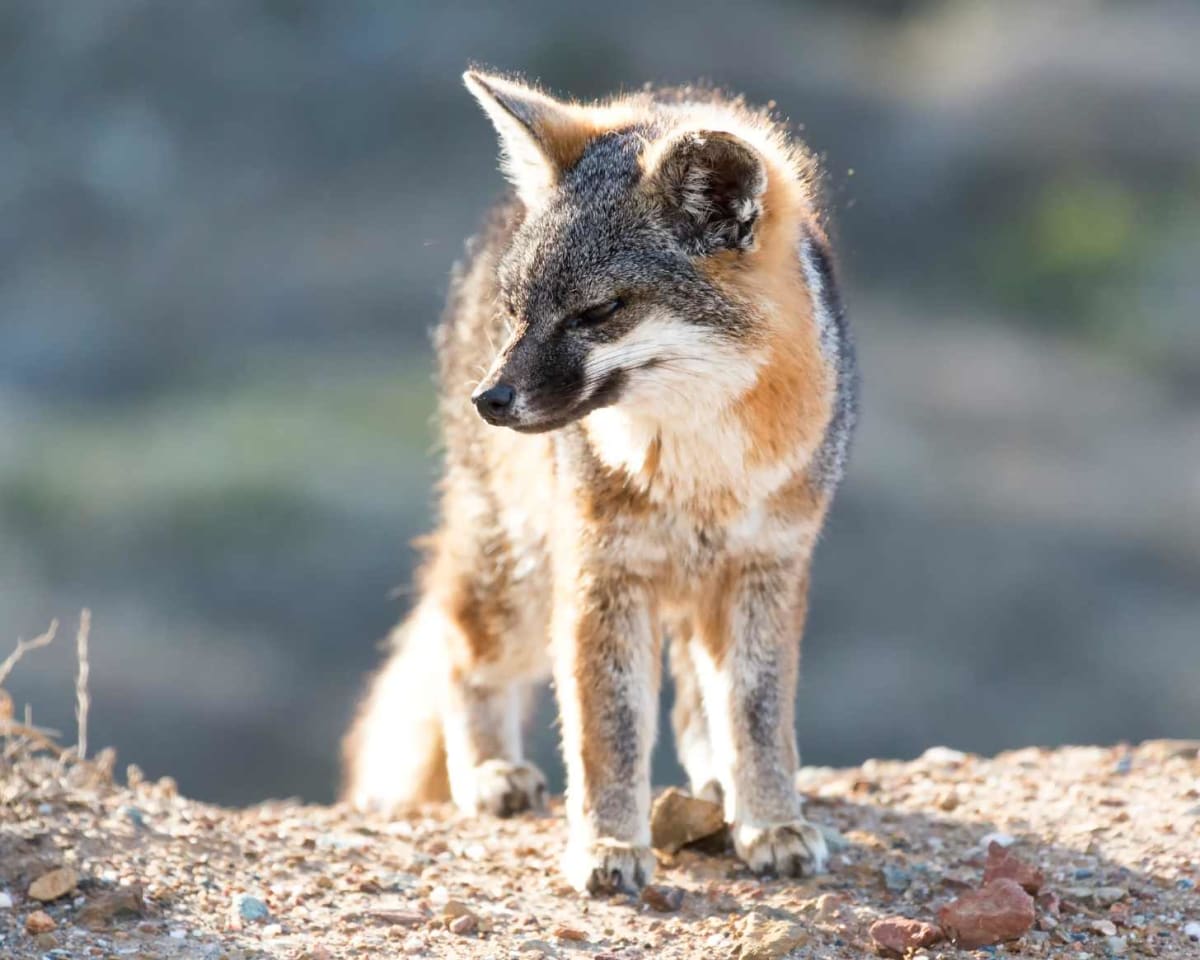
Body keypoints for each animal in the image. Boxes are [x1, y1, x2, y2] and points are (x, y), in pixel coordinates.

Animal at [342, 69, 858, 896]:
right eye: (517, 309)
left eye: (599, 311)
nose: (489, 400)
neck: (699, 474)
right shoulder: (600, 574)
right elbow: (606, 729)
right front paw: (611, 842)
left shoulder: (767, 570)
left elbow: (757, 716)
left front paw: (771, 821)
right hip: (518, 581)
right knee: (458, 648)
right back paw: (489, 771)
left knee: (696, 704)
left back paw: (715, 787)